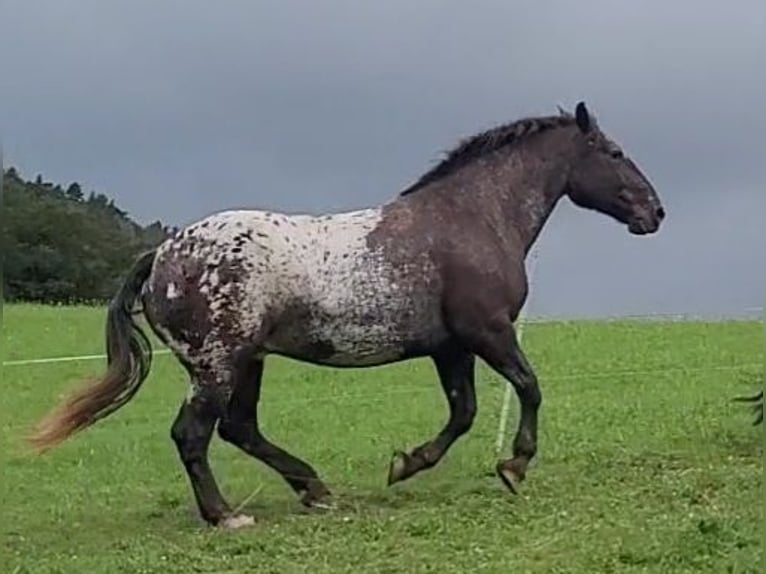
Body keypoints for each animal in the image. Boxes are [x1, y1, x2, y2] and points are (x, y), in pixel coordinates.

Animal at [28, 103, 664, 532]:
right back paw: (227, 515)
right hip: (218, 363)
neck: (473, 219)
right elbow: (528, 388)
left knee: (239, 428)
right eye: (613, 153)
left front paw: (406, 464)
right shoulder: (488, 332)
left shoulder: (451, 347)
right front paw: (514, 465)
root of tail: (160, 255)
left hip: (249, 361)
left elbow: (463, 413)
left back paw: (316, 490)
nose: (655, 212)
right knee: (193, 433)